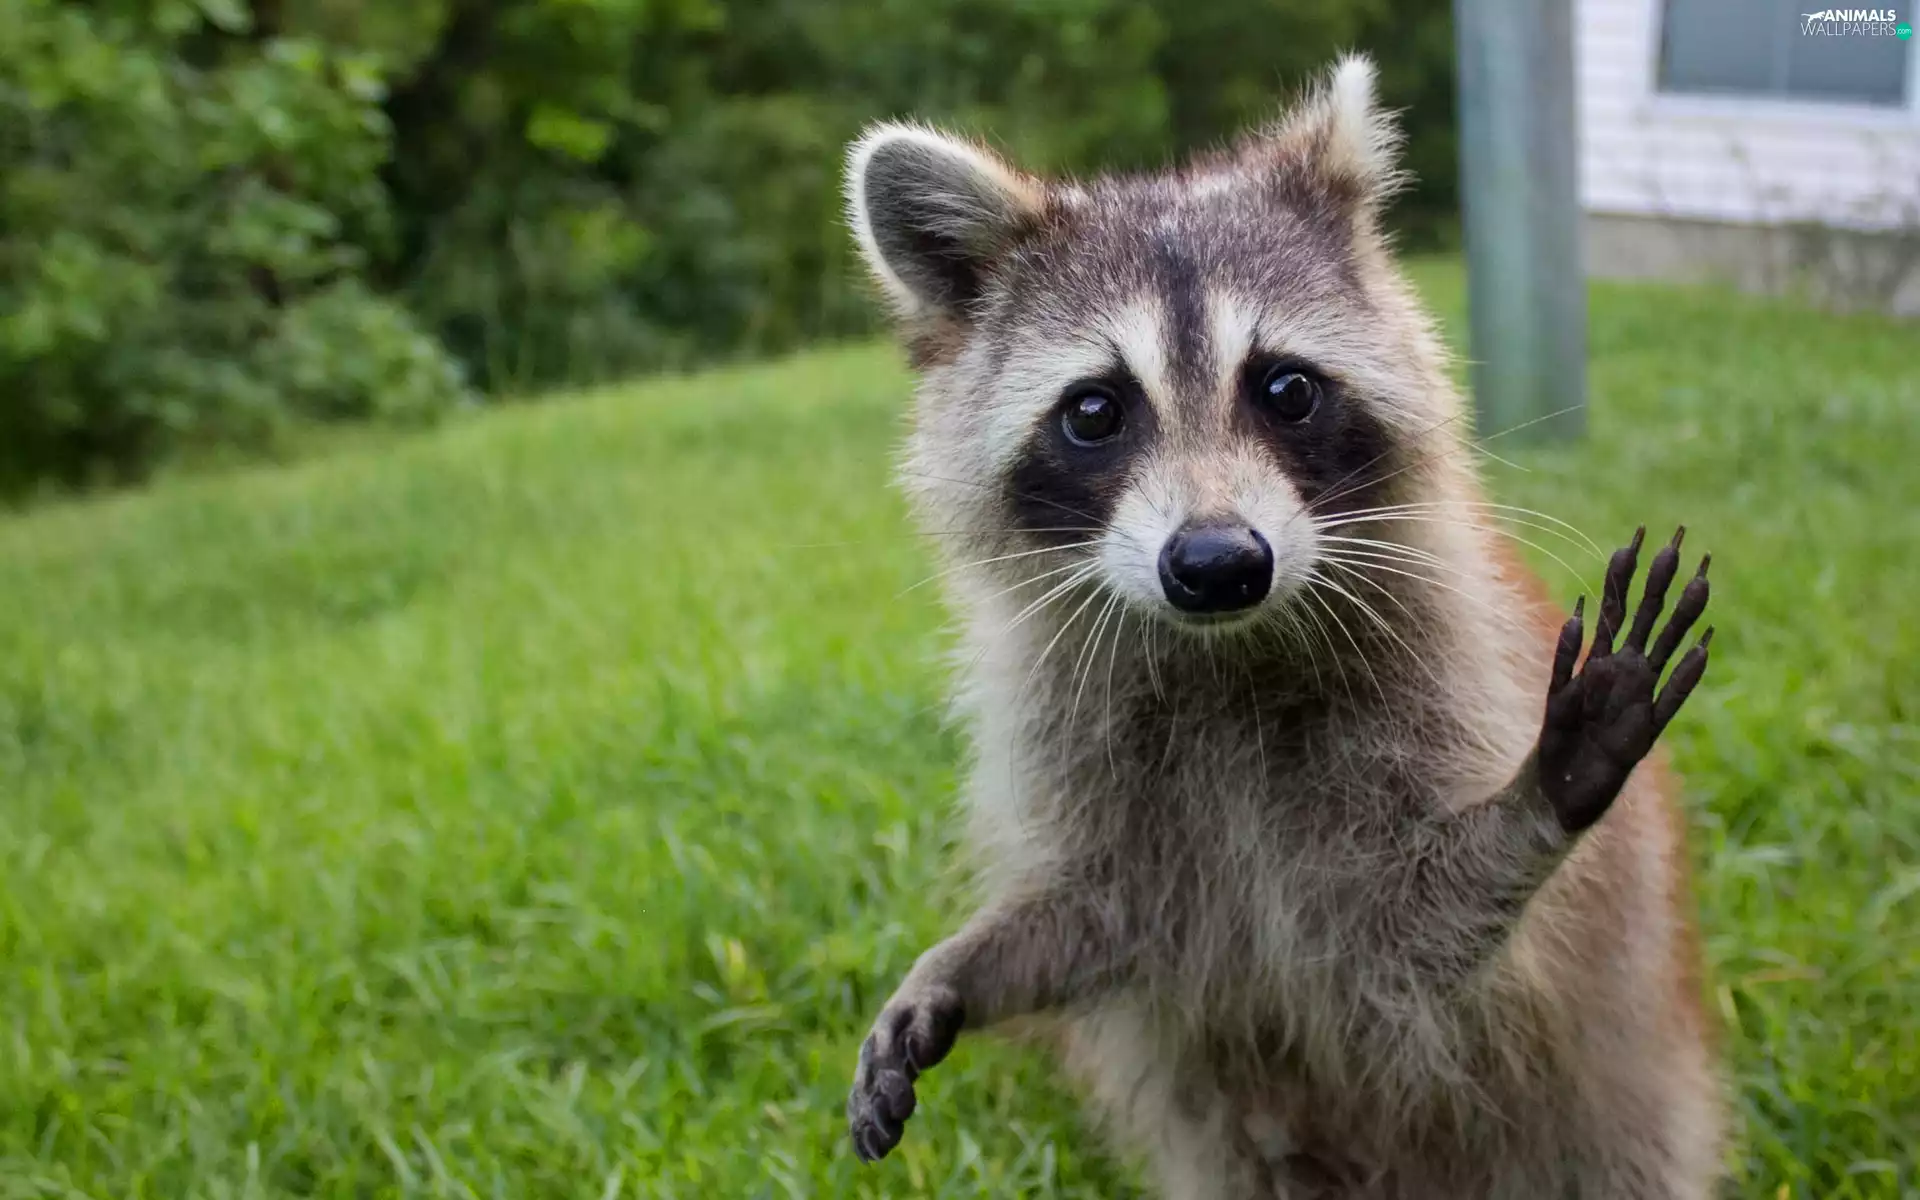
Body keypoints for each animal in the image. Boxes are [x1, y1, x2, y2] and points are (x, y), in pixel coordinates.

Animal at [840, 56, 1725, 1199]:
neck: (1223, 657)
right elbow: (1097, 915)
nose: (1218, 564)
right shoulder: (1076, 746)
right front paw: (963, 963)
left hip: (1618, 1114)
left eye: (1287, 388)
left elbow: (1420, 932)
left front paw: (1539, 798)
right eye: (1095, 411)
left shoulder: (1442, 692)